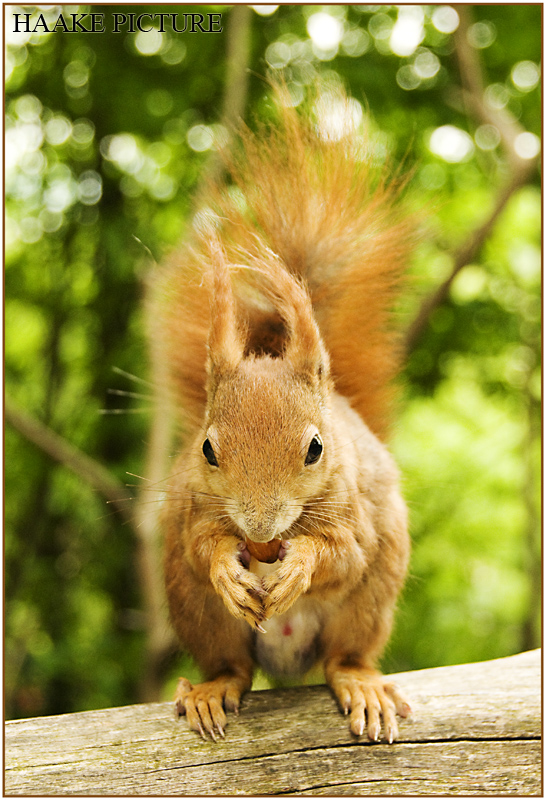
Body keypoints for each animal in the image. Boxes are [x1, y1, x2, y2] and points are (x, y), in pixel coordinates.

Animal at [149, 86, 412, 744]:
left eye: (316, 448)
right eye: (207, 448)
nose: (262, 534)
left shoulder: (353, 513)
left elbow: (341, 553)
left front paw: (300, 567)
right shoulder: (193, 507)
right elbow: (203, 546)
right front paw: (227, 565)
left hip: (368, 606)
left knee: (345, 656)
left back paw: (362, 684)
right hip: (198, 612)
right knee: (232, 668)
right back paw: (212, 690)